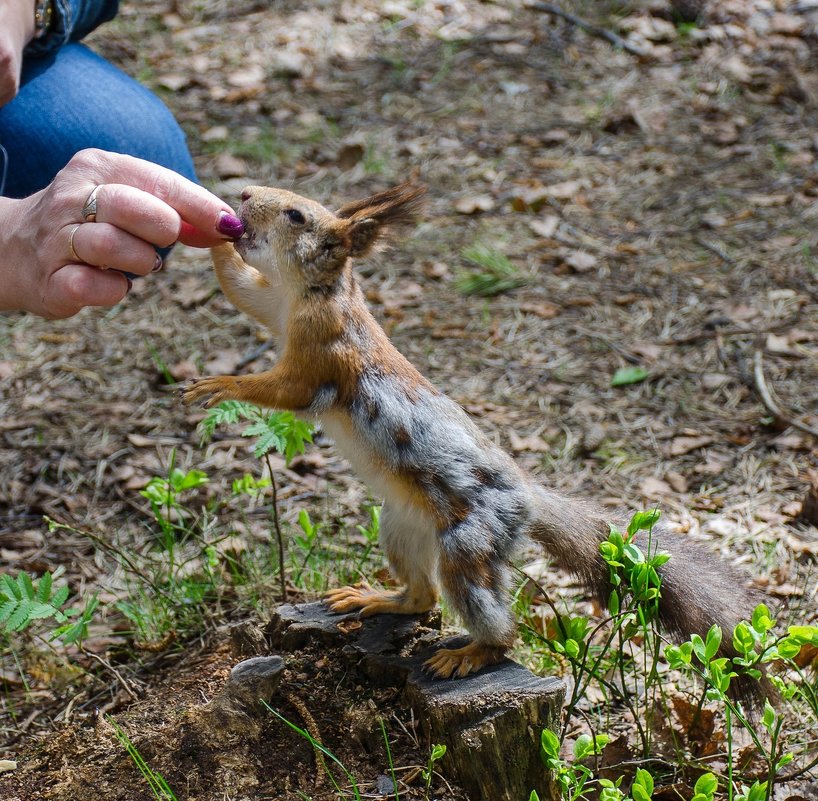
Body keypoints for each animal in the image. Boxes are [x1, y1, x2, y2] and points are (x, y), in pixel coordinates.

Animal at [185, 183, 764, 692]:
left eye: (296, 216)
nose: (243, 196)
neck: (312, 293)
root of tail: (526, 498)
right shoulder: (273, 308)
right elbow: (241, 290)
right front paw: (210, 230)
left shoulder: (320, 350)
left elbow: (289, 389)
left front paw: (222, 384)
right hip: (400, 525)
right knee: (422, 598)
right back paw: (375, 598)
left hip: (469, 544)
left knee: (496, 625)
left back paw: (470, 654)